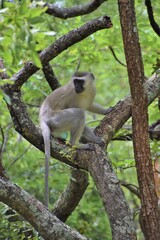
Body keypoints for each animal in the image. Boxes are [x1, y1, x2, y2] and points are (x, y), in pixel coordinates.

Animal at [39, 71, 110, 206]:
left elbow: (90, 106)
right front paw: (93, 139)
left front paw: (106, 110)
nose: (77, 87)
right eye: (75, 82)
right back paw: (75, 144)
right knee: (79, 114)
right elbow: (81, 113)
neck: (85, 91)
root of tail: (42, 118)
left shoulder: (92, 90)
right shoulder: (73, 96)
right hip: (57, 119)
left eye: (80, 81)